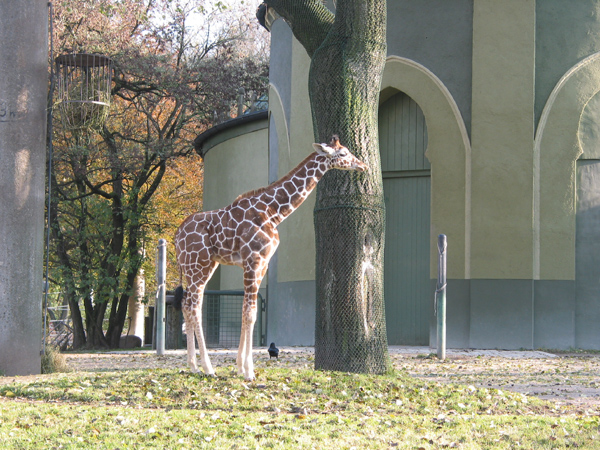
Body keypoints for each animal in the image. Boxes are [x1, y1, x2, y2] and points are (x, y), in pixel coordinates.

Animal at [171, 136, 364, 380]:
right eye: (343, 153)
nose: (362, 165)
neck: (274, 212)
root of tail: (176, 236)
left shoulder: (263, 263)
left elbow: (247, 311)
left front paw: (240, 367)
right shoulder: (253, 259)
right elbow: (251, 313)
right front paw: (249, 372)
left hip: (202, 266)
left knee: (187, 305)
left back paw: (193, 366)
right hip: (198, 264)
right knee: (195, 307)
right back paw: (208, 367)